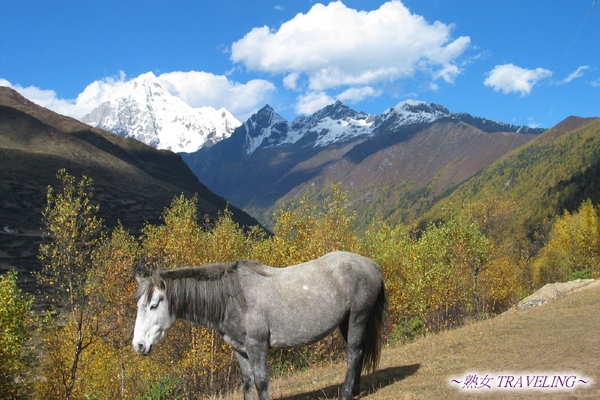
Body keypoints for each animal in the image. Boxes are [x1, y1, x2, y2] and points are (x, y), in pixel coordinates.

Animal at [132, 252, 386, 398]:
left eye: (154, 305)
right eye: (139, 306)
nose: (139, 345)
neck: (233, 298)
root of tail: (372, 265)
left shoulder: (257, 346)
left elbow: (261, 381)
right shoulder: (240, 349)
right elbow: (247, 383)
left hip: (358, 317)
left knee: (354, 352)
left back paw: (346, 393)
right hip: (346, 322)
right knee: (360, 352)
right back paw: (355, 389)